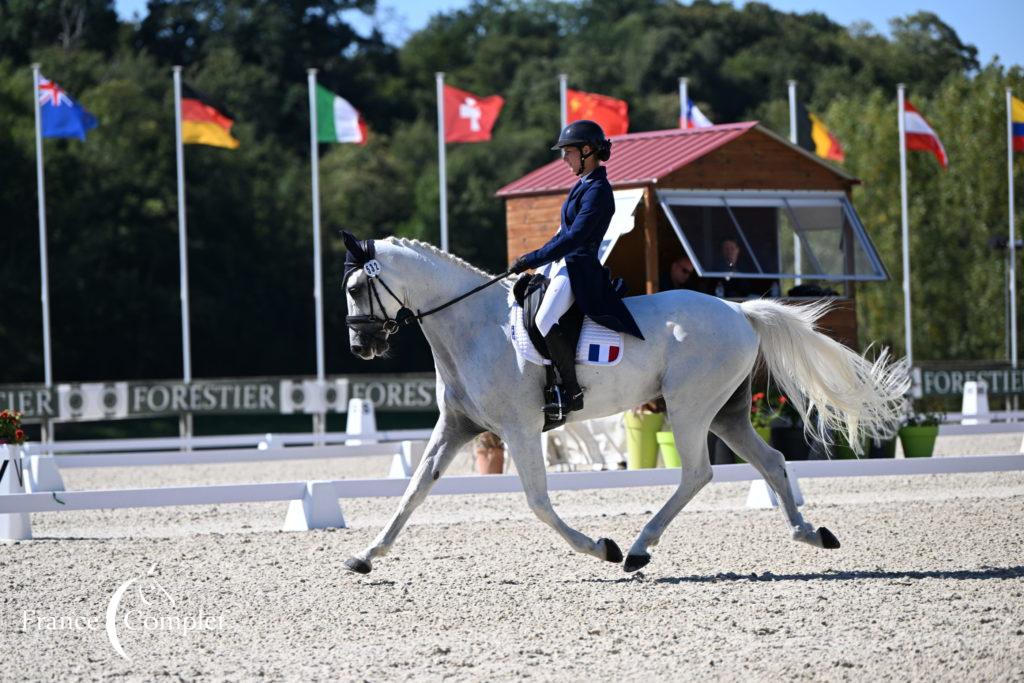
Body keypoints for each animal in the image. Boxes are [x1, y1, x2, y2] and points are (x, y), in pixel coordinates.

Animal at [339, 237, 909, 573]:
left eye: (356, 286)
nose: (360, 346)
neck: (478, 326)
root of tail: (739, 310)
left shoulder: (519, 428)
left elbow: (538, 503)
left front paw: (600, 547)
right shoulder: (456, 426)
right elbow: (413, 491)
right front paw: (367, 555)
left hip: (689, 407)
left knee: (698, 473)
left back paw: (635, 550)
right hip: (726, 412)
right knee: (770, 460)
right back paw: (810, 534)